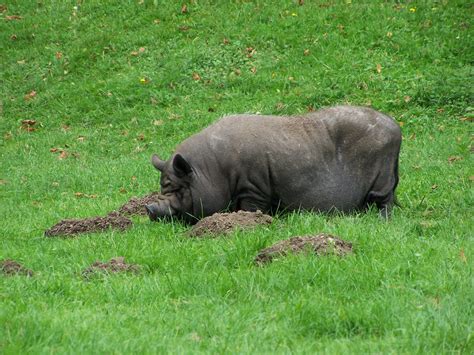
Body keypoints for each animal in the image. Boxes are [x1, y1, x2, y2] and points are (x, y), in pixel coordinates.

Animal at [146, 104, 402, 224]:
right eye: (162, 187)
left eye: (178, 188)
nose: (149, 208)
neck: (215, 171)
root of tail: (395, 127)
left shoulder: (253, 186)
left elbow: (250, 206)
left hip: (382, 174)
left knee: (385, 200)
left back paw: (382, 220)